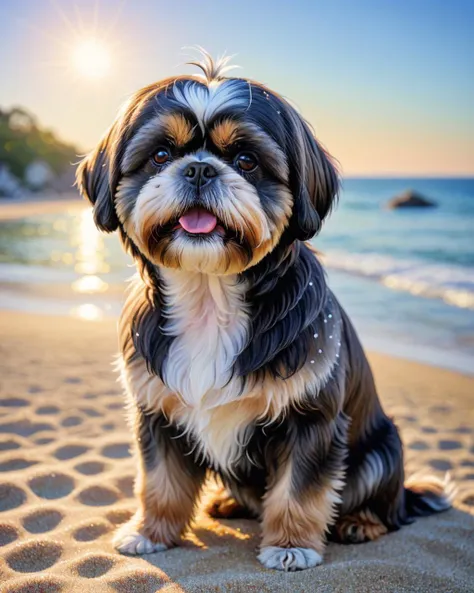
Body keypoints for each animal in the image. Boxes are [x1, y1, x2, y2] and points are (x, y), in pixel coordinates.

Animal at [76, 53, 454, 572]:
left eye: (246, 161)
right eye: (160, 155)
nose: (199, 170)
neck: (211, 297)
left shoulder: (311, 419)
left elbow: (299, 490)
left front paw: (292, 544)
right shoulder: (157, 411)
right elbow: (160, 482)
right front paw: (151, 531)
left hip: (382, 449)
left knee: (383, 504)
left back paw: (361, 522)